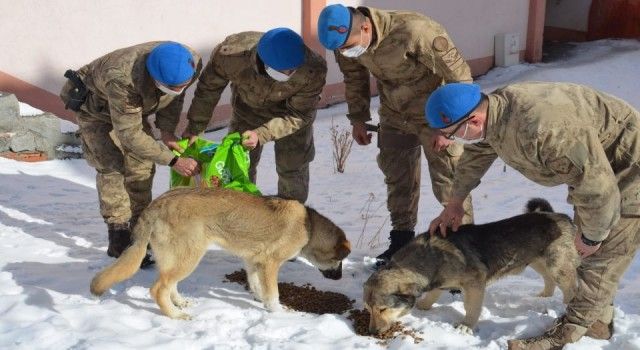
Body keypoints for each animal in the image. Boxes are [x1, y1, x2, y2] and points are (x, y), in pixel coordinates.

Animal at [90, 187, 350, 318]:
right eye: (339, 262)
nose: (340, 278)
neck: (309, 226)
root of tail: (155, 205)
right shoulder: (270, 264)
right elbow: (273, 293)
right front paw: (277, 311)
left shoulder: (253, 261)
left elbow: (256, 284)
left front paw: (259, 300)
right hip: (190, 256)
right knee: (158, 289)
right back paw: (175, 315)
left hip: (177, 257)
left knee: (168, 283)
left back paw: (180, 303)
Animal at [364, 200, 580, 334]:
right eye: (368, 310)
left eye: (383, 309)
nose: (372, 332)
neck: (430, 258)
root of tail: (562, 216)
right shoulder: (440, 282)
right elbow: (432, 295)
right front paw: (422, 306)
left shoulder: (475, 283)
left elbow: (472, 307)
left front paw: (466, 326)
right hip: (537, 261)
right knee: (549, 279)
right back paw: (544, 296)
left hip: (557, 265)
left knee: (571, 288)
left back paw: (566, 307)